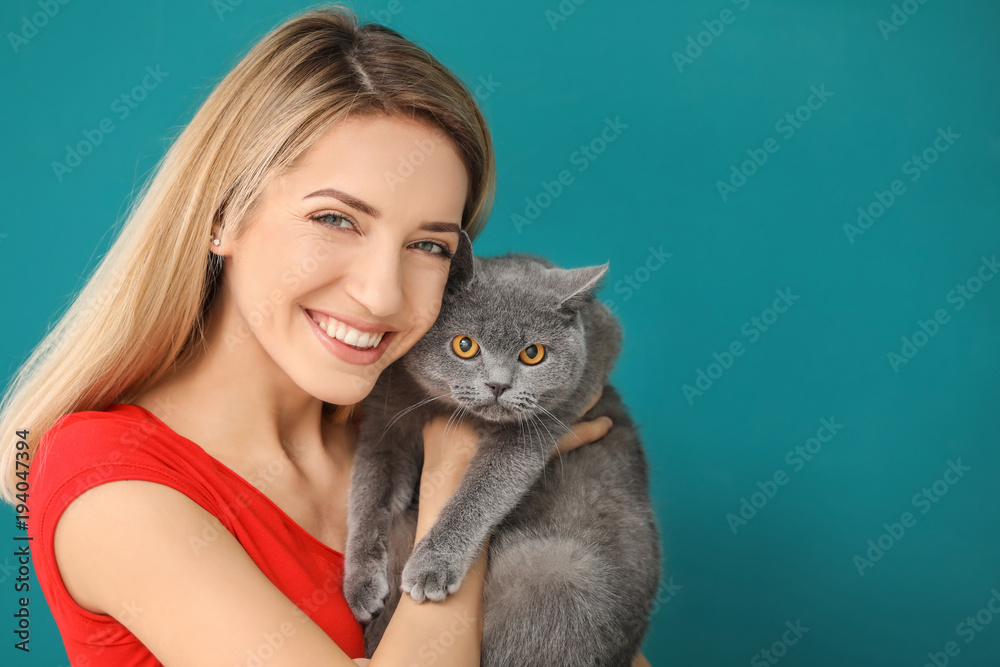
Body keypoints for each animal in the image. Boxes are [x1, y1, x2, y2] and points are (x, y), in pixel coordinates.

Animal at [344, 231, 664, 667]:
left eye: (533, 353)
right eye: (465, 345)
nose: (498, 385)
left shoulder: (544, 421)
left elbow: (482, 489)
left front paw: (431, 566)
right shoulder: (385, 421)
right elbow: (368, 495)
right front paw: (359, 585)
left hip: (558, 572)